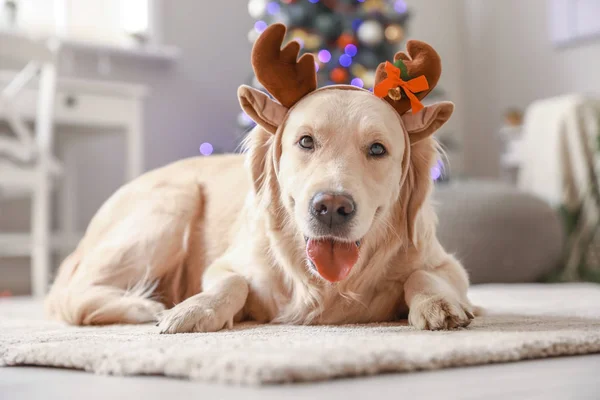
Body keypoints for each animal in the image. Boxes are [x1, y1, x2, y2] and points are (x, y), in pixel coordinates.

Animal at [45, 23, 474, 332]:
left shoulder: (447, 265)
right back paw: (143, 305)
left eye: (377, 149)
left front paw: (439, 305)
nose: (332, 207)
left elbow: (422, 276)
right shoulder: (226, 265)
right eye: (306, 141)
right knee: (74, 292)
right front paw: (195, 309)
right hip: (171, 204)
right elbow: (231, 282)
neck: (326, 285)